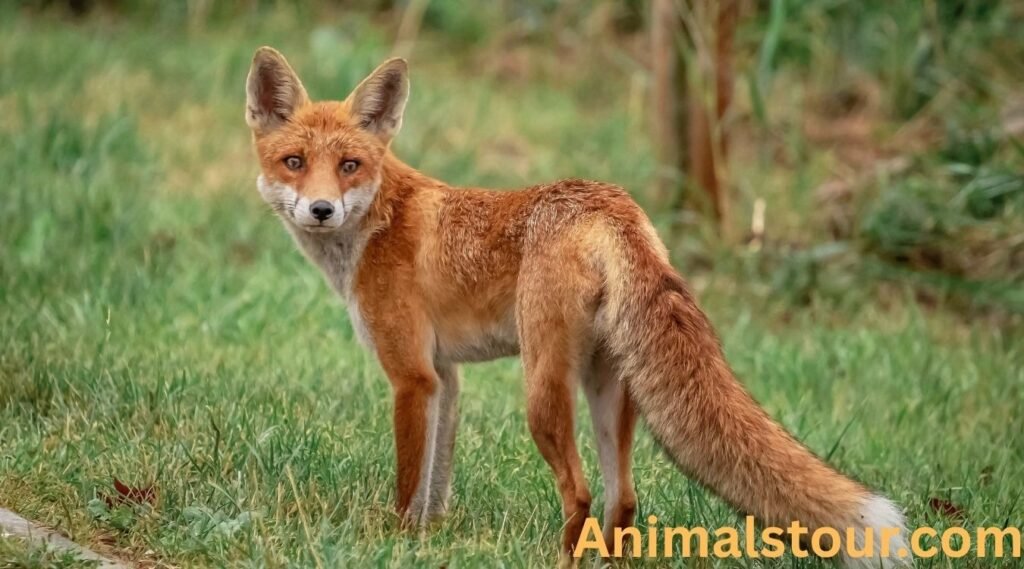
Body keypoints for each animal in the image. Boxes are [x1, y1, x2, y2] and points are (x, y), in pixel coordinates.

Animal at [245, 47, 910, 567]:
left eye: (349, 165)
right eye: (294, 163)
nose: (322, 210)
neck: (376, 224)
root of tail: (612, 203)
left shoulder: (411, 376)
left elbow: (410, 484)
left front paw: (399, 543)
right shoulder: (445, 377)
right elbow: (437, 483)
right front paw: (429, 542)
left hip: (542, 392)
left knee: (582, 494)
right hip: (608, 387)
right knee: (624, 500)